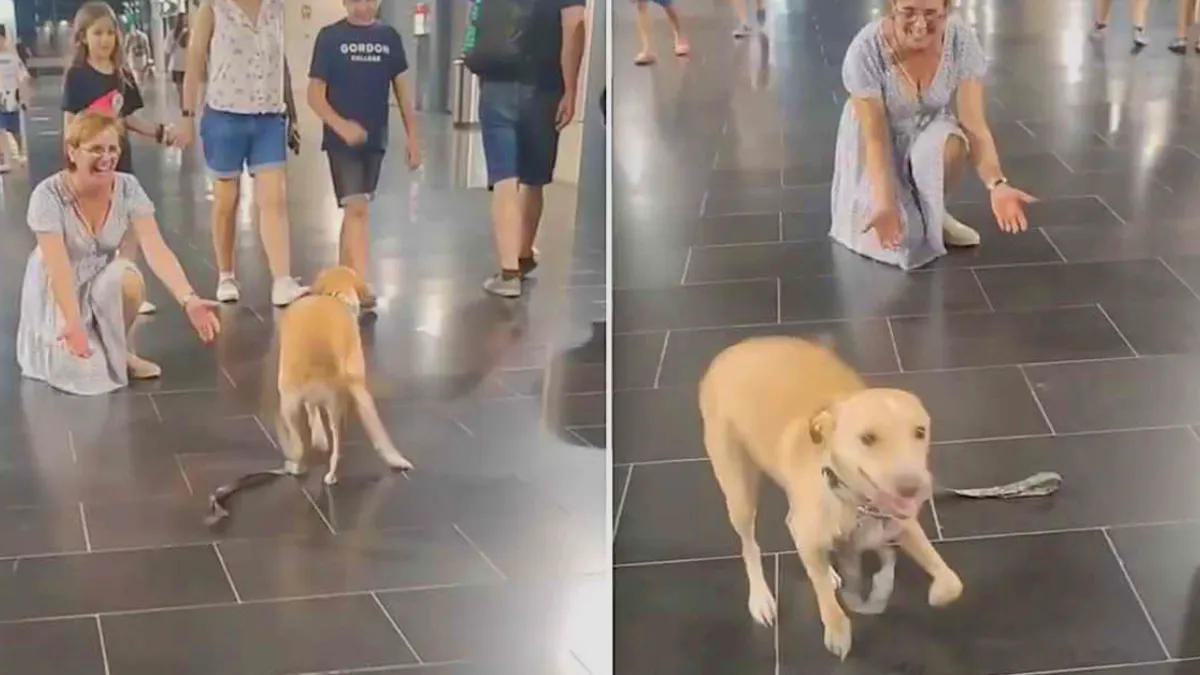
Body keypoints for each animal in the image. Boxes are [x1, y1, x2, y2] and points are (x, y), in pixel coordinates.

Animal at [276, 266, 412, 482]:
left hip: (293, 405)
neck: (334, 296)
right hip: (334, 402)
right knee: (332, 443)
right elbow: (377, 432)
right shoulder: (359, 387)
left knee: (307, 436)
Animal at [700, 336, 960, 658]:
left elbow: (952, 582)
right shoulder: (811, 534)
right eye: (868, 438)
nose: (913, 488)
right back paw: (761, 597)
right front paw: (837, 630)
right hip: (739, 492)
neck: (854, 500)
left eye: (920, 431)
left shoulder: (901, 523)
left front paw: (938, 592)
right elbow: (824, 594)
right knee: (750, 546)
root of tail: (730, 351)